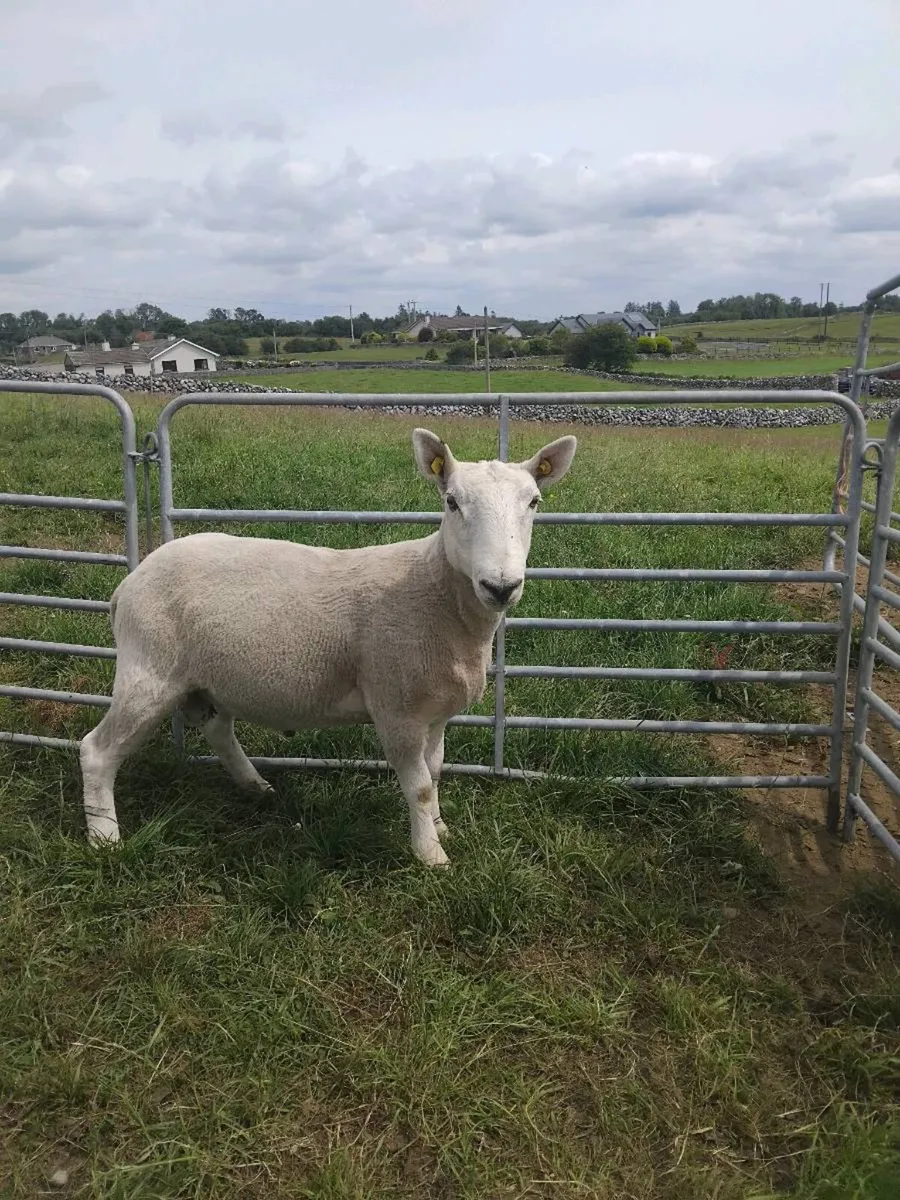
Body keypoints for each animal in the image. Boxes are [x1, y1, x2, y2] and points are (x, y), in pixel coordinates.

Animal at [79, 427, 577, 867]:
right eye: (451, 502)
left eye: (534, 501)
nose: (501, 586)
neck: (436, 592)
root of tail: (130, 581)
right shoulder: (395, 707)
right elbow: (417, 786)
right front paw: (431, 856)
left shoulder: (435, 711)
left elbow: (435, 773)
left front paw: (439, 828)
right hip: (149, 670)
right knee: (96, 751)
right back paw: (105, 839)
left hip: (205, 678)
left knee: (219, 730)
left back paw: (256, 787)